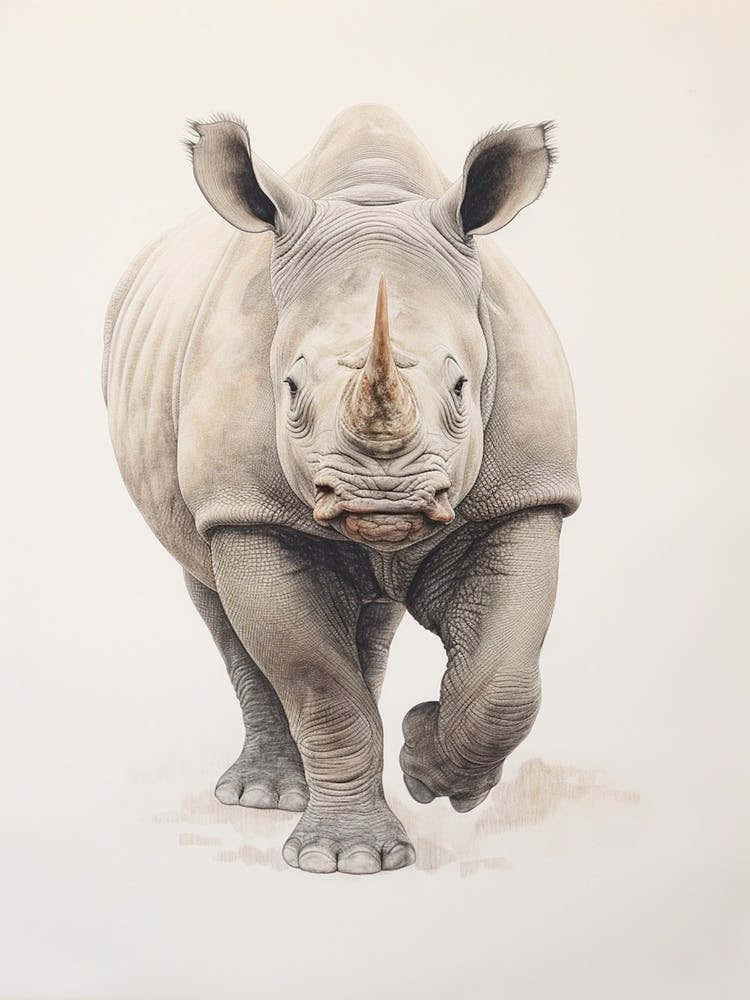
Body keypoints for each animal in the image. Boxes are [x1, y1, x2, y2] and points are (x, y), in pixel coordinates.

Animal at [103, 104, 579, 875]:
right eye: (291, 388)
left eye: (461, 386)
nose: (383, 500)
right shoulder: (246, 509)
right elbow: (319, 686)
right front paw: (346, 861)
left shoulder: (528, 493)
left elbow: (504, 682)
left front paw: (429, 767)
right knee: (215, 596)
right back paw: (265, 796)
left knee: (373, 618)